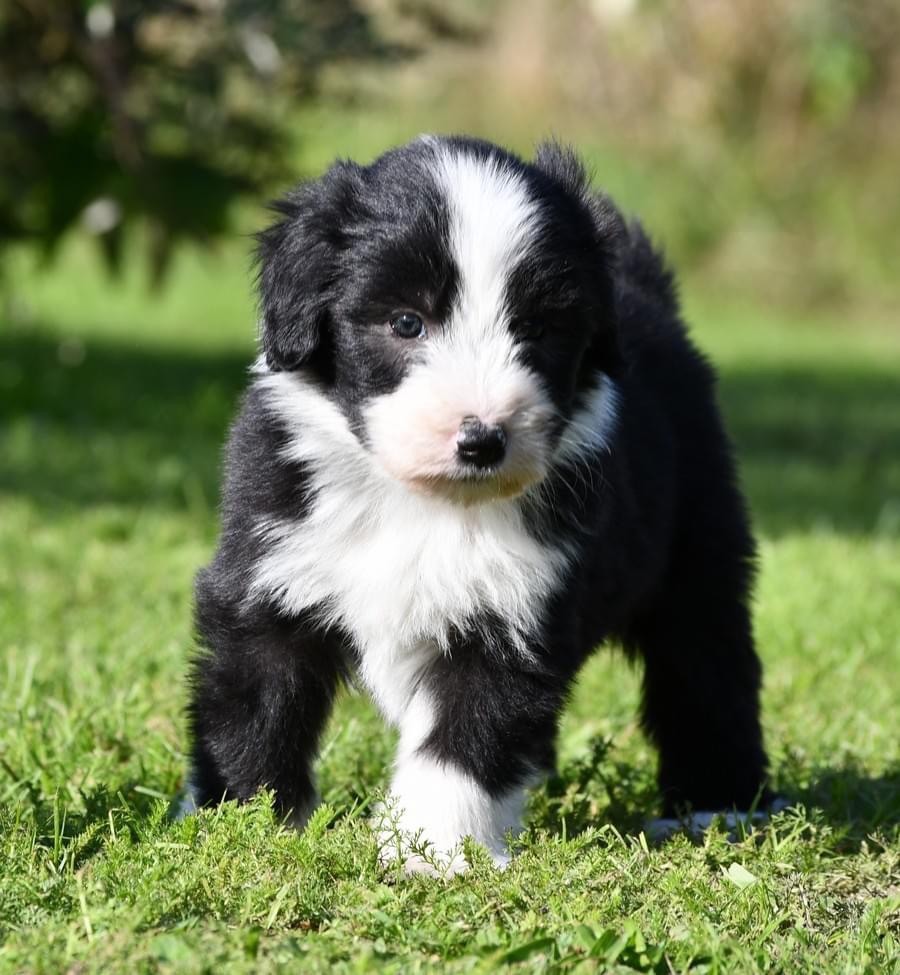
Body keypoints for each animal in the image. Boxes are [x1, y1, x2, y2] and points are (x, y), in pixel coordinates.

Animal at [183, 133, 772, 872]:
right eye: (407, 322)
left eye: (537, 328)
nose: (483, 438)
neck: (420, 505)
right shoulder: (271, 573)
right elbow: (253, 707)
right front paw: (246, 828)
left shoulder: (512, 613)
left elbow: (466, 735)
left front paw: (431, 851)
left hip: (698, 546)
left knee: (707, 664)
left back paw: (717, 803)